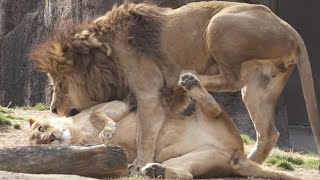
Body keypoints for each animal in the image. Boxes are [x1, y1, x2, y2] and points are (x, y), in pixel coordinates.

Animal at [28, 73, 300, 180]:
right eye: (38, 144)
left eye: (40, 130)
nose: (49, 139)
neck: (74, 135)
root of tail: (238, 156)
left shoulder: (113, 105)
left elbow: (97, 114)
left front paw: (107, 131)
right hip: (195, 158)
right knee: (185, 174)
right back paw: (153, 171)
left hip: (215, 121)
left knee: (215, 109)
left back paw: (190, 82)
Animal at [30, 0, 320, 166]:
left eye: (59, 83)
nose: (53, 109)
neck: (107, 57)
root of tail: (290, 30)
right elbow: (144, 127)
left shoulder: (148, 93)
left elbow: (145, 134)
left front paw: (139, 165)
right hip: (258, 86)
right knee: (268, 133)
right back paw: (251, 163)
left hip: (218, 24)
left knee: (230, 77)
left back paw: (185, 78)